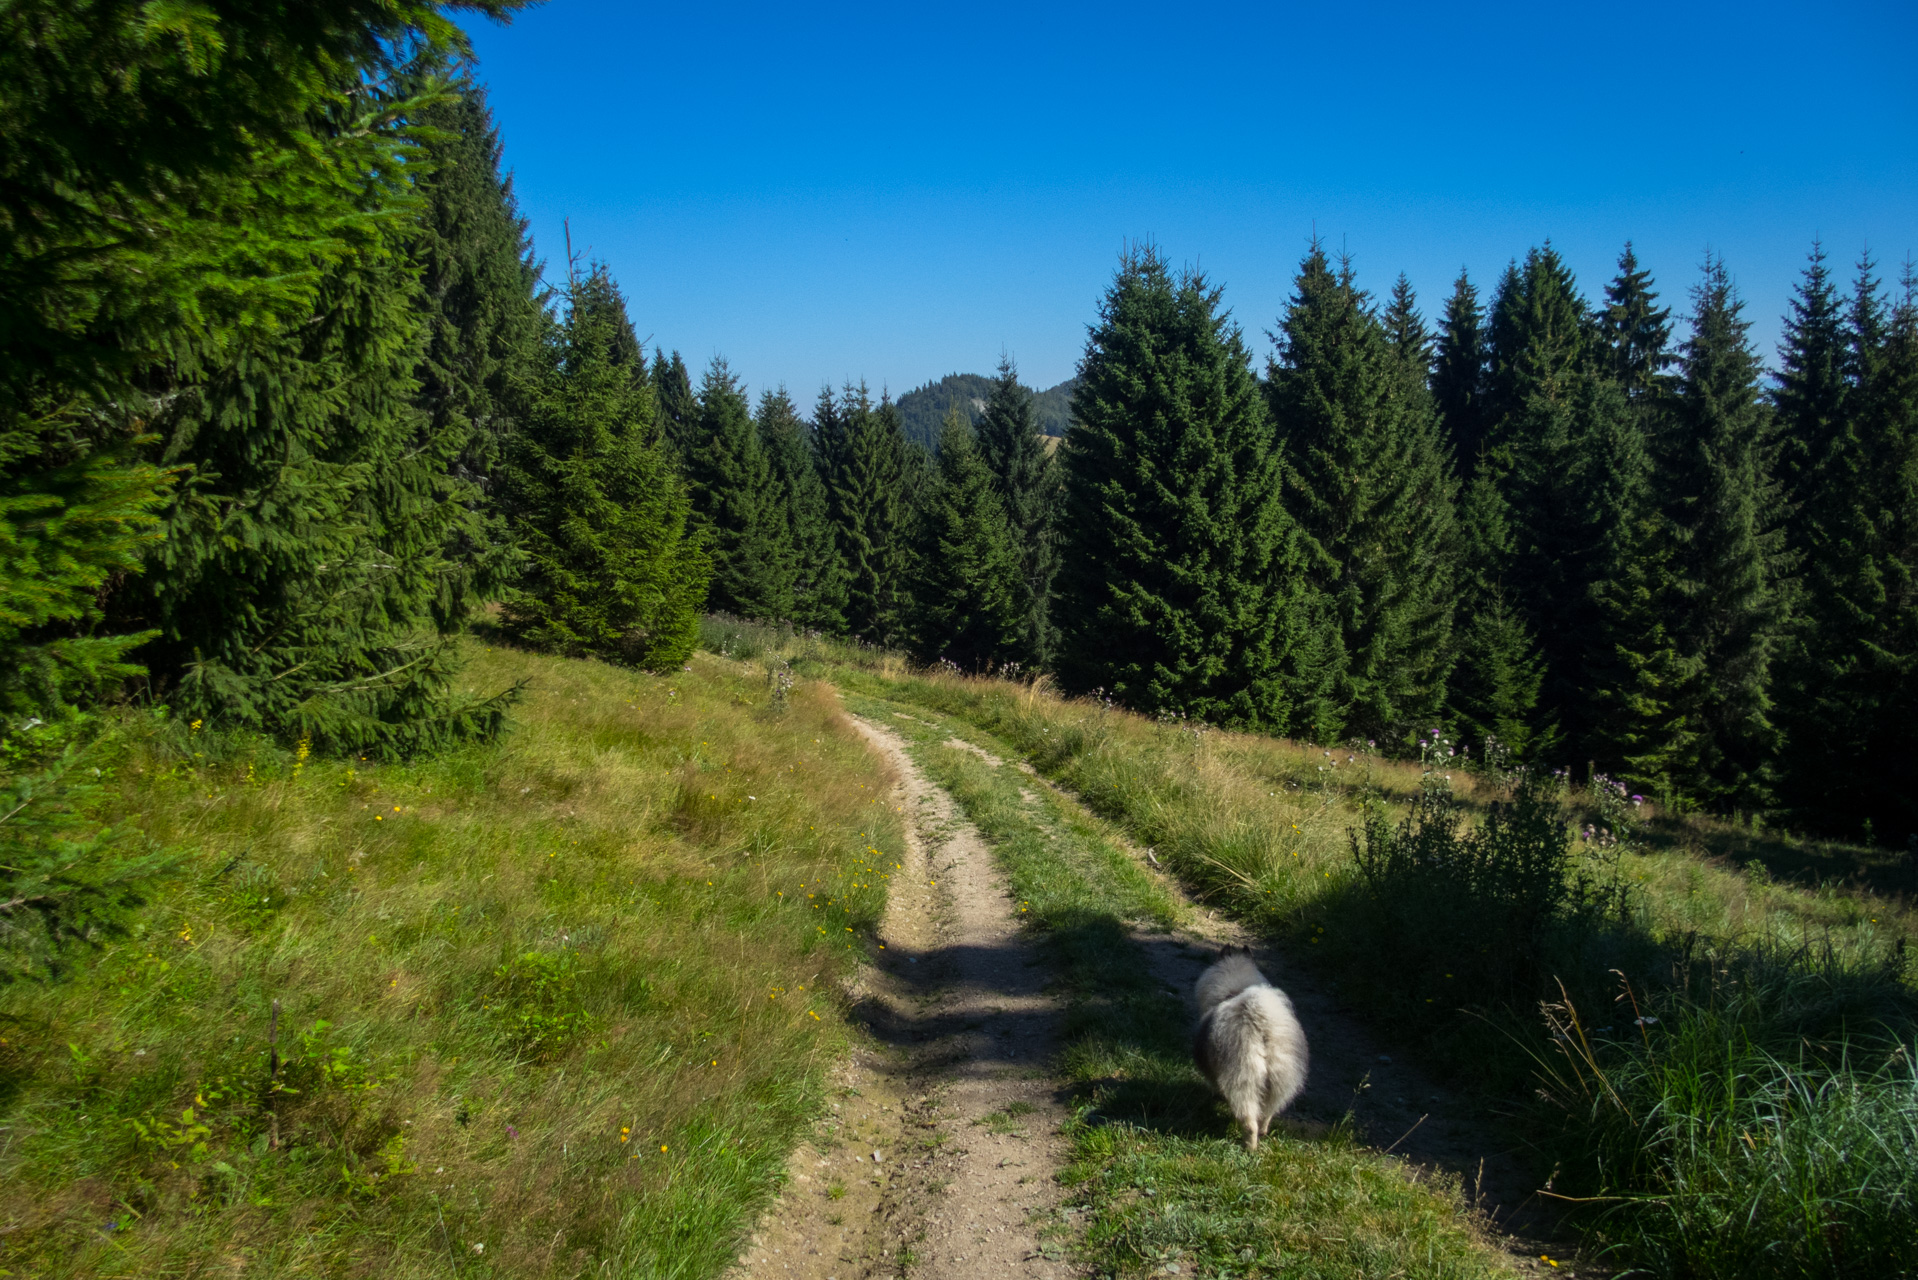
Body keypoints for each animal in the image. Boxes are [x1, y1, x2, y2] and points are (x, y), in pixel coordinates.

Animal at [1189, 951, 1311, 1151]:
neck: (1235, 990)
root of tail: (1260, 1020)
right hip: (1280, 1078)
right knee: (1266, 1113)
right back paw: (1262, 1133)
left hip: (1243, 1077)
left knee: (1249, 1120)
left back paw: (1249, 1148)